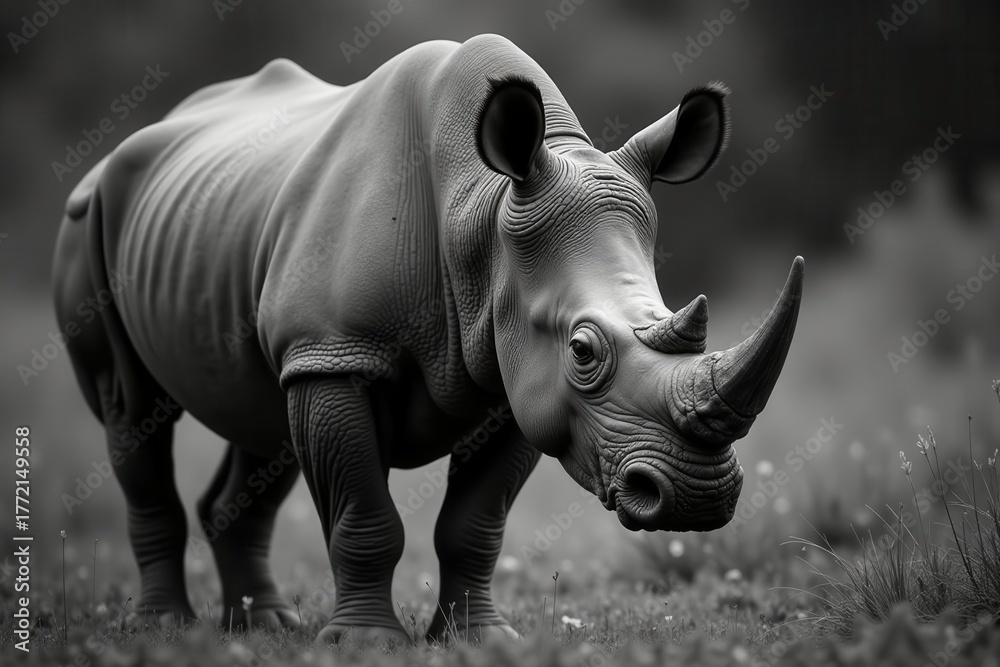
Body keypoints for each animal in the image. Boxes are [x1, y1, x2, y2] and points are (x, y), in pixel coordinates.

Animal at [53, 34, 802, 644]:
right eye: (583, 351)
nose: (698, 496)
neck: (483, 214)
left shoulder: (514, 382)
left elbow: (474, 525)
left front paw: (481, 639)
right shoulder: (336, 353)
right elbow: (364, 511)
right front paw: (363, 642)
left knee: (260, 421)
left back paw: (265, 627)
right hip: (89, 218)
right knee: (132, 409)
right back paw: (165, 629)